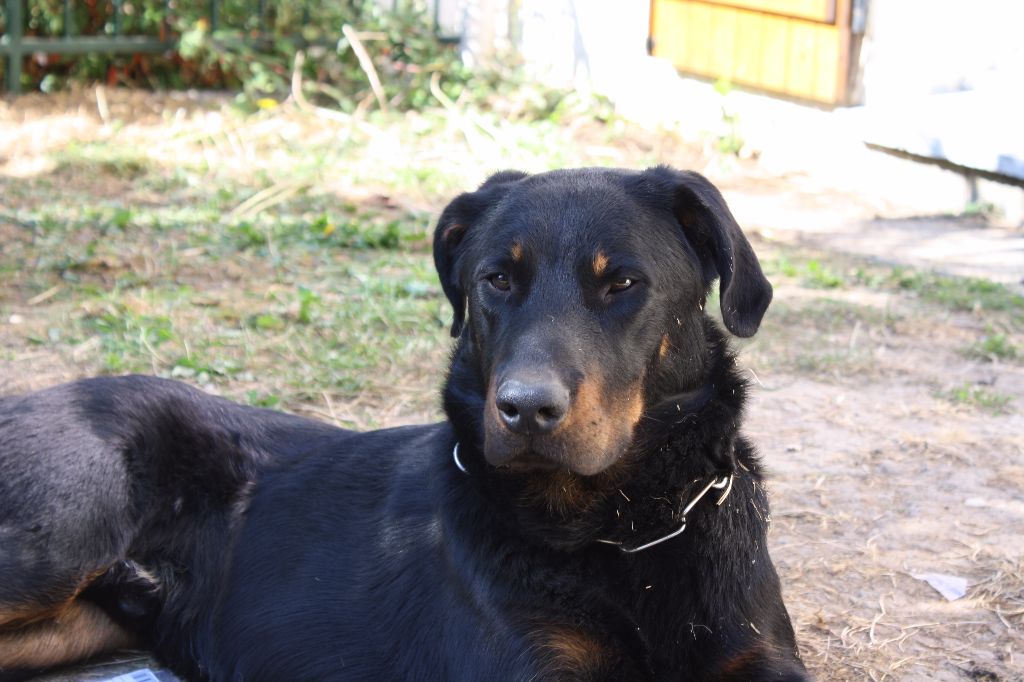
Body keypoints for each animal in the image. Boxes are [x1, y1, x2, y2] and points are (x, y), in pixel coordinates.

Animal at [2, 165, 806, 679]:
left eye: (624, 284)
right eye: (497, 278)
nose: (525, 409)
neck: (625, 529)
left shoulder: (759, 653)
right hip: (62, 538)